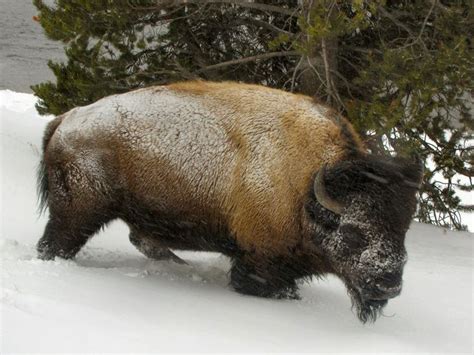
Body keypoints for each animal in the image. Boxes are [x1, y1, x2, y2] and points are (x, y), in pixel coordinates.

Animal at [37, 80, 422, 322]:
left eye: (402, 230)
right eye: (354, 232)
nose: (390, 283)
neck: (306, 190)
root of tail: (67, 119)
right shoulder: (260, 262)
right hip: (78, 211)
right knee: (55, 244)